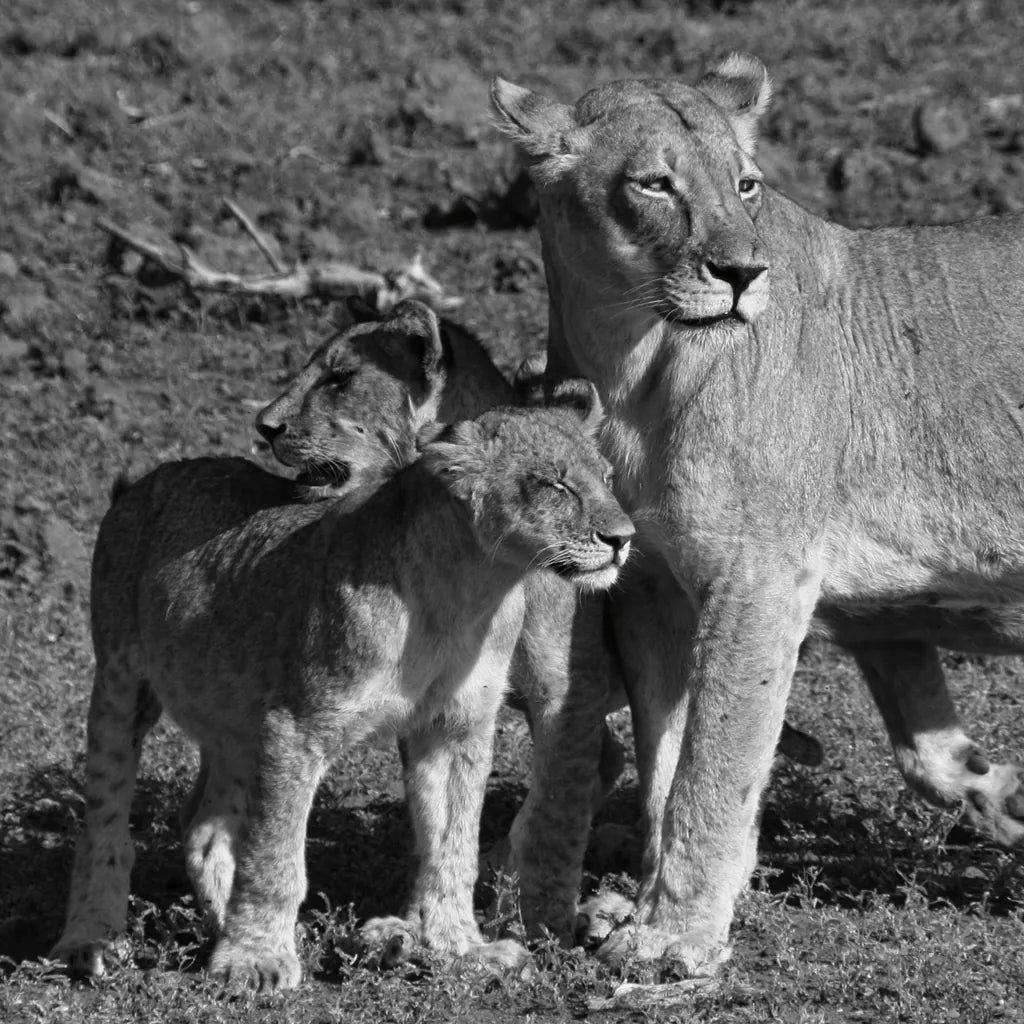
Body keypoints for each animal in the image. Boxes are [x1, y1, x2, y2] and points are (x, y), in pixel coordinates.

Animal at [50, 373, 635, 990]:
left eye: (607, 478)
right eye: (553, 484)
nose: (622, 538)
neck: (471, 589)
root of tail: (141, 483)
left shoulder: (455, 728)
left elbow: (454, 847)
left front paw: (461, 949)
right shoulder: (296, 725)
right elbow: (275, 854)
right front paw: (254, 959)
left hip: (237, 715)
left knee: (204, 828)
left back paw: (223, 926)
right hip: (121, 682)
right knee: (105, 821)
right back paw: (90, 941)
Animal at [491, 53, 1024, 977]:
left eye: (746, 185)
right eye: (655, 184)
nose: (742, 275)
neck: (634, 369)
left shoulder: (759, 576)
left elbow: (717, 756)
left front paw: (672, 939)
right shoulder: (651, 587)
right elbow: (669, 755)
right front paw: (644, 904)